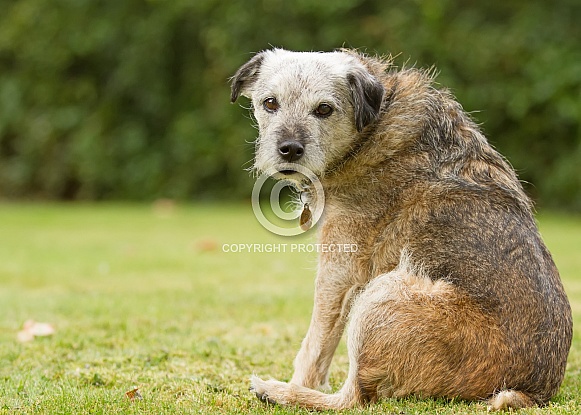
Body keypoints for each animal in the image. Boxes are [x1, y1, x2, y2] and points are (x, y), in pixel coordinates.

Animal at [228, 48, 572, 412]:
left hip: (384, 292)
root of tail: (534, 391)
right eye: (270, 103)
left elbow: (316, 342)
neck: (372, 126)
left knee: (353, 398)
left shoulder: (340, 271)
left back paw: (278, 392)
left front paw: (297, 382)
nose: (289, 149)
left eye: (324, 109)